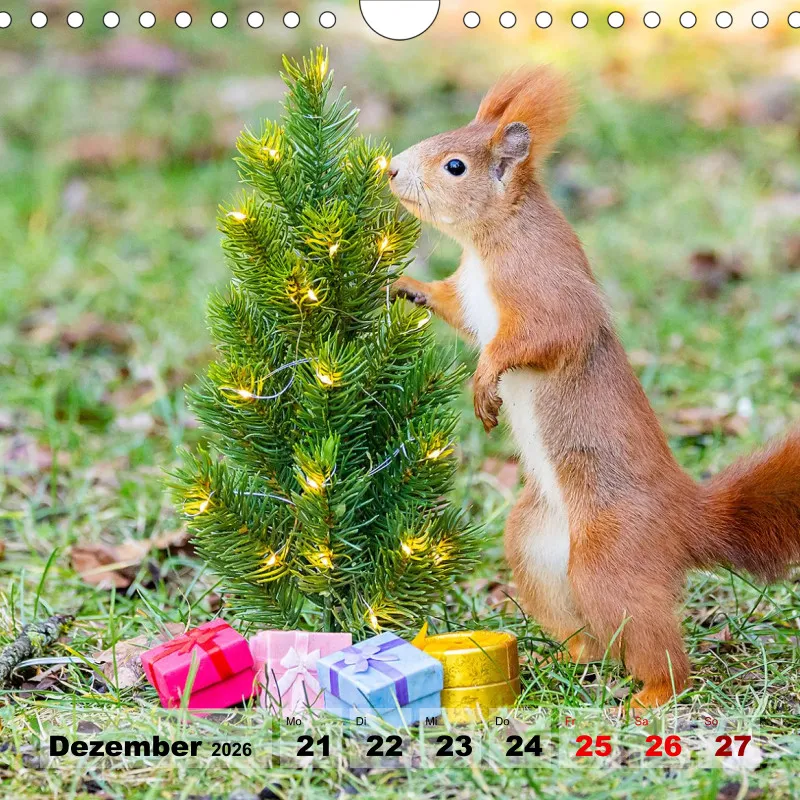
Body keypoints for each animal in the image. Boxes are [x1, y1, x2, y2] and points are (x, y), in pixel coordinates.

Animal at [388, 66, 800, 708]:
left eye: (454, 165)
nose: (389, 169)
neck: (489, 242)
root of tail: (685, 518)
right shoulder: (472, 298)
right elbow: (454, 307)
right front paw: (406, 286)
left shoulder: (547, 290)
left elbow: (541, 338)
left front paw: (485, 383)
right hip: (534, 543)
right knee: (589, 629)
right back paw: (567, 656)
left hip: (609, 557)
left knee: (654, 644)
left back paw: (653, 693)